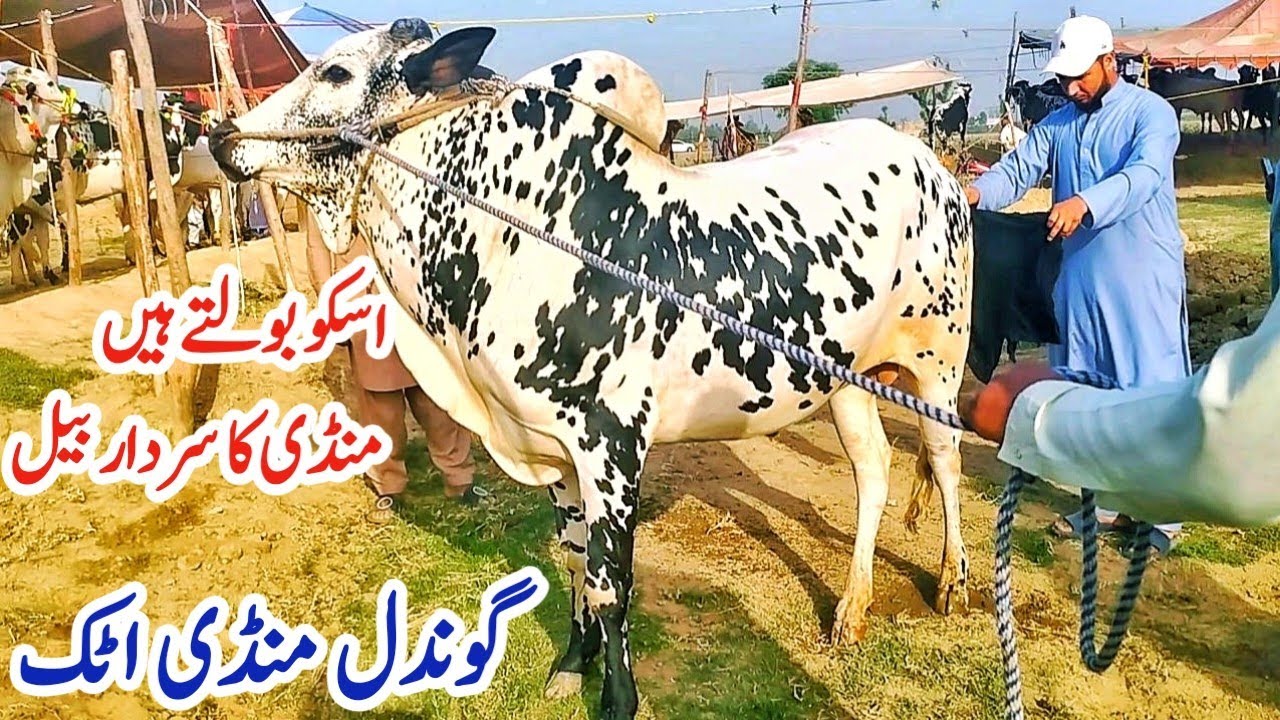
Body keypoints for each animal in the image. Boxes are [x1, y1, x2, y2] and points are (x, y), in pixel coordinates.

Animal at [210, 20, 974, 719]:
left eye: (336, 72)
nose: (220, 136)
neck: (508, 232)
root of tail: (924, 156)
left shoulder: (610, 447)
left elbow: (611, 583)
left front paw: (618, 698)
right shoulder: (554, 451)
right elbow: (575, 561)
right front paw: (572, 664)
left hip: (940, 361)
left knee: (942, 462)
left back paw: (952, 583)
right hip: (845, 381)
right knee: (874, 470)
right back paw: (852, 608)